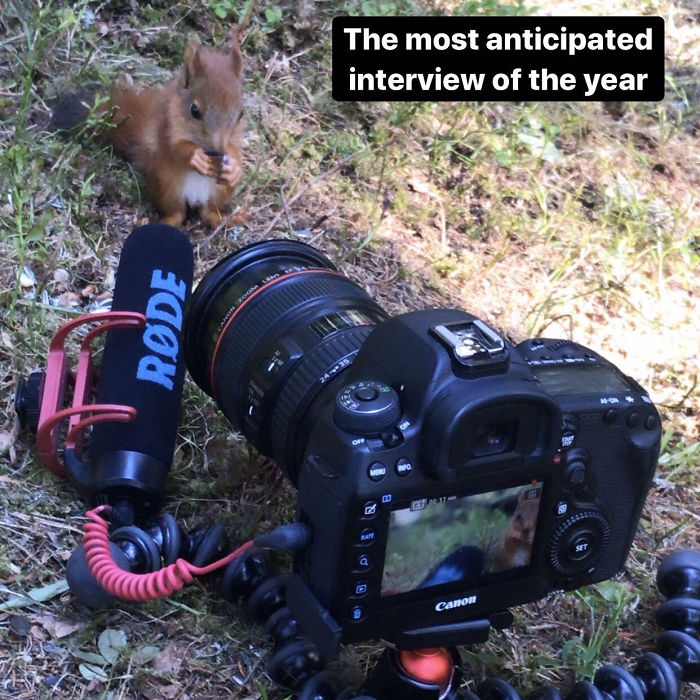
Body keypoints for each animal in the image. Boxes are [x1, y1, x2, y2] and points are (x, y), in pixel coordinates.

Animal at [52, 28, 244, 228]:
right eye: (194, 110)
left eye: (241, 114)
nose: (218, 150)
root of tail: (195, 198)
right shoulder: (165, 126)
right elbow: (174, 148)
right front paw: (195, 157)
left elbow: (234, 148)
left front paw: (234, 168)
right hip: (166, 185)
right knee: (177, 213)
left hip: (219, 191)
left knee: (208, 212)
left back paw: (227, 217)